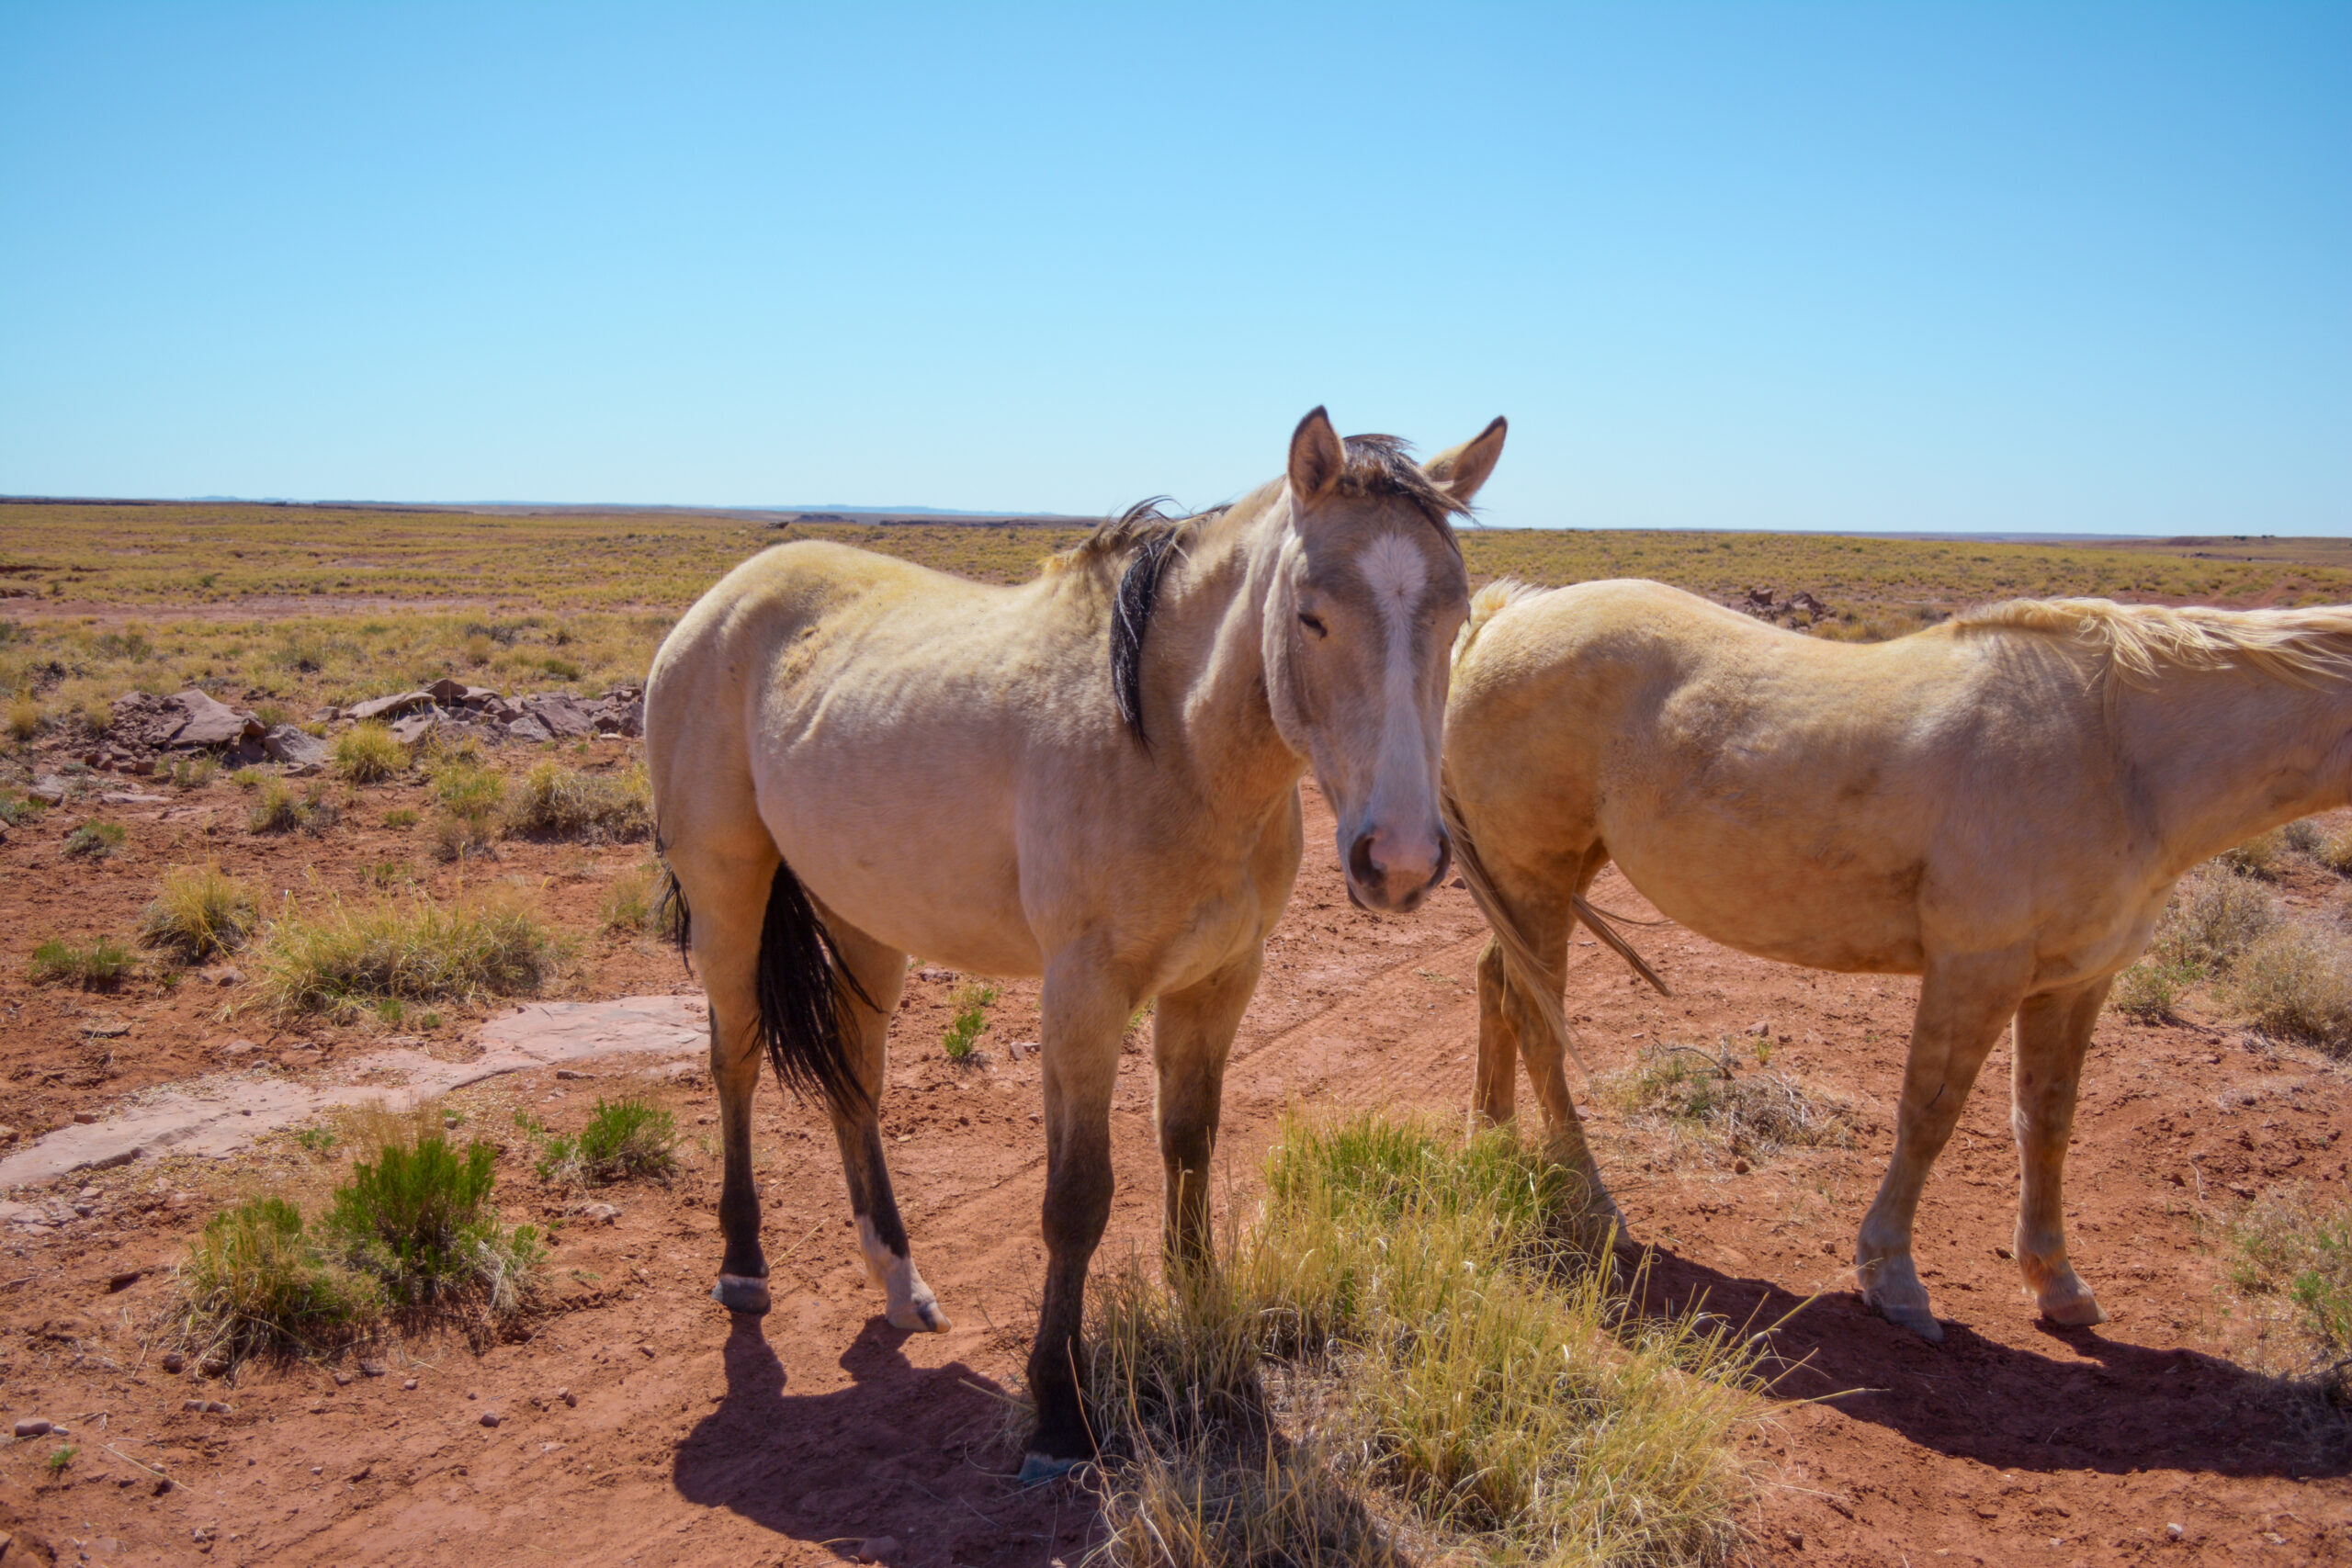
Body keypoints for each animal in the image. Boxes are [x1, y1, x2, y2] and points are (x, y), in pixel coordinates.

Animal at [644, 408, 1501, 1477]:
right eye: (1310, 615)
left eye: (1456, 614)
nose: (1402, 859)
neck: (1170, 744)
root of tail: (718, 603)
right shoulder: (1084, 997)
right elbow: (1077, 1200)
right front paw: (1059, 1409)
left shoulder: (1219, 982)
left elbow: (1188, 1147)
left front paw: (1203, 1311)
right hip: (730, 896)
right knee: (737, 1059)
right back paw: (744, 1265)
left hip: (864, 922)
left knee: (853, 1081)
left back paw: (900, 1280)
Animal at [1442, 577, 2352, 1341]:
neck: (2114, 747)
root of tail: (1501, 619)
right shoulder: (1976, 970)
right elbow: (1930, 1117)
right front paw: (1894, 1280)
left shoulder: (2077, 981)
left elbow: (2047, 1122)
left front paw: (2056, 1281)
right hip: (1535, 871)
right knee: (1537, 1022)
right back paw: (1593, 1205)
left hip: (1548, 876)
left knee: (1495, 986)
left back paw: (1493, 1140)